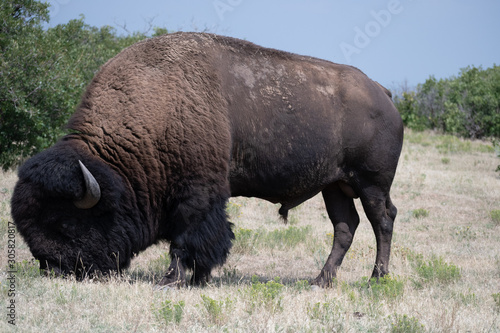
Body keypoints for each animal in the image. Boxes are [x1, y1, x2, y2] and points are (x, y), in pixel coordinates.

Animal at [10, 31, 402, 286]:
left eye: (65, 222)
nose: (52, 269)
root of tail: (382, 93)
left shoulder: (195, 194)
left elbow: (187, 237)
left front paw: (172, 279)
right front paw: (197, 278)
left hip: (371, 183)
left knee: (382, 219)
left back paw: (376, 279)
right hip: (335, 186)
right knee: (345, 227)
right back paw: (320, 280)